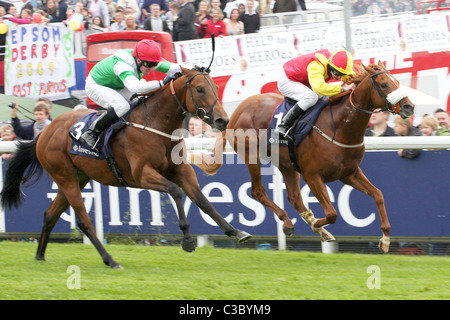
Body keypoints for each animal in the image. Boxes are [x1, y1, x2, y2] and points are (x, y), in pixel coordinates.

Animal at [0, 65, 250, 268]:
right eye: (199, 89)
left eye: (215, 88)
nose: (222, 120)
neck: (157, 125)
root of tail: (44, 133)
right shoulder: (142, 175)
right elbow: (176, 191)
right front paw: (187, 241)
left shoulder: (181, 170)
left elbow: (203, 200)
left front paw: (236, 231)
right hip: (65, 176)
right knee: (84, 221)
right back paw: (110, 260)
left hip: (77, 177)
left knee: (50, 214)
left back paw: (40, 255)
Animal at [192, 62, 414, 252]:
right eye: (384, 84)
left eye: (397, 82)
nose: (409, 107)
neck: (340, 126)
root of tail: (234, 114)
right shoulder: (313, 176)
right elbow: (332, 213)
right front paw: (317, 224)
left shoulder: (349, 173)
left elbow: (378, 194)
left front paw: (385, 238)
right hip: (251, 156)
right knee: (258, 191)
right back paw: (290, 222)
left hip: (286, 164)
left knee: (294, 197)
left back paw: (308, 226)